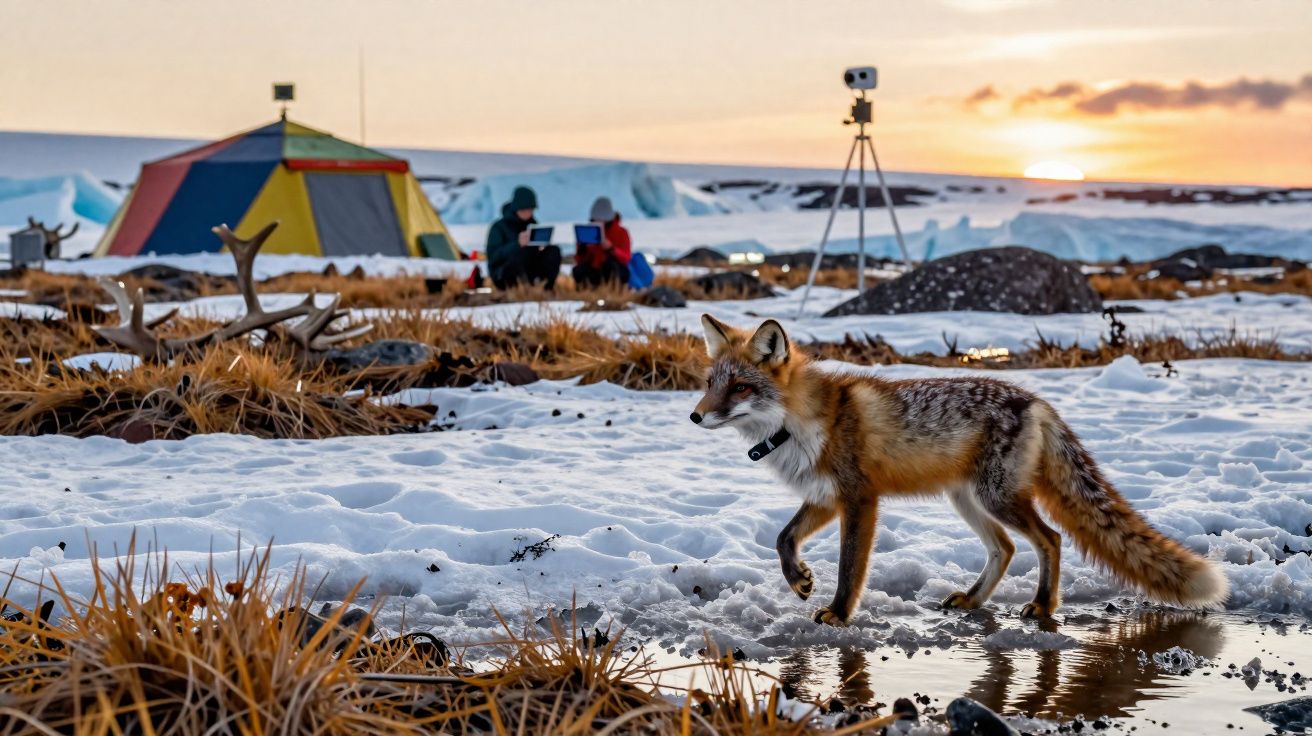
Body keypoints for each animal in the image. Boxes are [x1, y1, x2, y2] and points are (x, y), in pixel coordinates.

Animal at [690, 314, 1228, 625]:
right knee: (1006, 548)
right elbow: (783, 538)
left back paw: (1043, 606)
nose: (695, 416)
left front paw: (839, 613)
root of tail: (1037, 401)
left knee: (1050, 539)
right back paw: (973, 601)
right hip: (967, 500)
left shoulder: (860, 498)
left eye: (740, 387)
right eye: (710, 383)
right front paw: (798, 579)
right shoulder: (826, 495)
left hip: (996, 498)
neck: (802, 423)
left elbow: (849, 567)